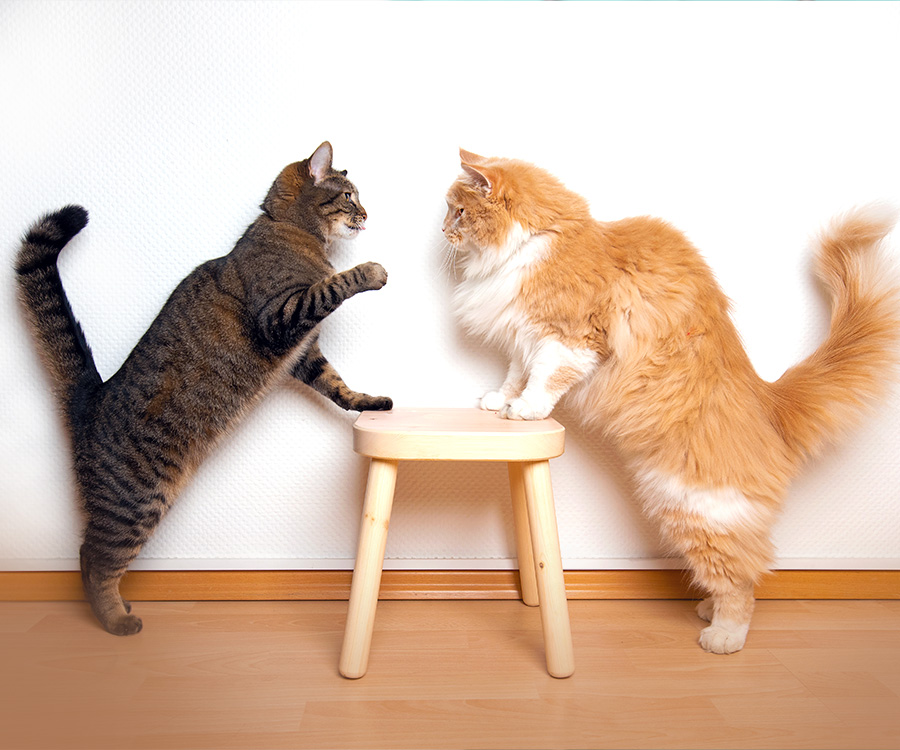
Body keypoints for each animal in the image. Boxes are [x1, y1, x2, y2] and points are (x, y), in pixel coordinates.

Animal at [16, 141, 390, 636]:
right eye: (349, 195)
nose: (367, 213)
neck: (291, 231)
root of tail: (91, 396)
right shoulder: (282, 317)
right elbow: (334, 285)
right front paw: (370, 271)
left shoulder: (304, 355)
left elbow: (336, 385)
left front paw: (368, 402)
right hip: (135, 502)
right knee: (93, 560)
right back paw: (116, 620)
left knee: (87, 558)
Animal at [442, 150, 900, 656]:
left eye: (458, 211)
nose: (443, 231)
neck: (540, 242)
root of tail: (770, 402)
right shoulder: (523, 337)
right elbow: (513, 375)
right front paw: (498, 402)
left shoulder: (568, 337)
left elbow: (543, 379)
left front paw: (526, 411)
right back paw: (706, 610)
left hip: (696, 508)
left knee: (742, 579)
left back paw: (723, 634)